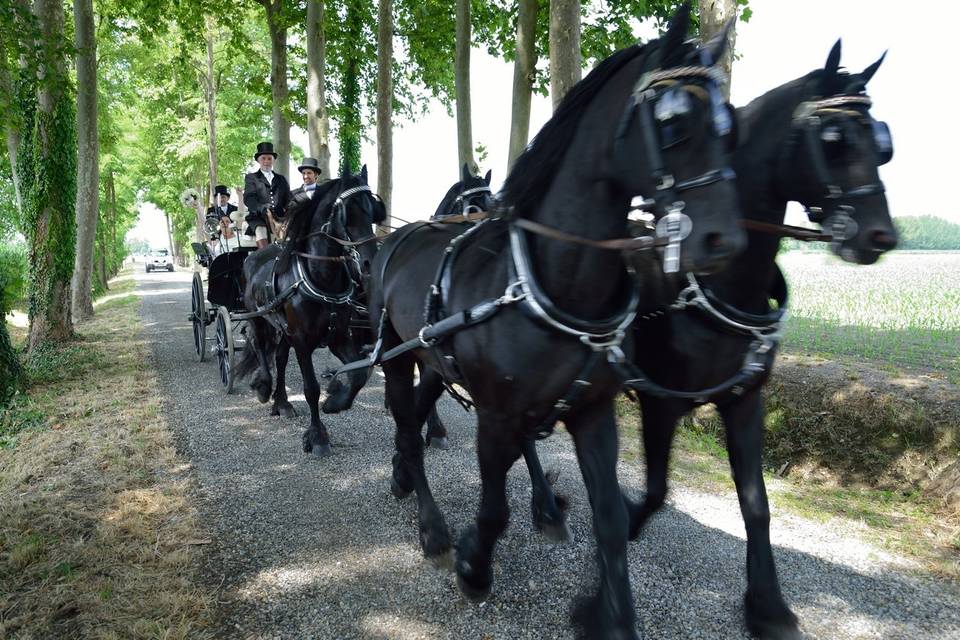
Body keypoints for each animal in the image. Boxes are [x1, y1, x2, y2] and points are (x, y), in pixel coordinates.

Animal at [238, 165, 384, 456]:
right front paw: (317, 437)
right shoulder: (303, 342)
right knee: (259, 347)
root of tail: (254, 256)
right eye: (347, 211)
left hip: (283, 329)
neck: (319, 276)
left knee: (280, 358)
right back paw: (264, 386)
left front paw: (335, 400)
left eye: (373, 209)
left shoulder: (339, 337)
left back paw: (282, 403)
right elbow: (311, 388)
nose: (370, 263)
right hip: (260, 319)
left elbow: (359, 373)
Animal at [348, 7, 748, 636]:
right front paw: (474, 564)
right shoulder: (497, 414)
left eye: (730, 125)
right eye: (673, 120)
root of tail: (394, 240)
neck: (553, 281)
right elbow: (494, 507)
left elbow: (609, 516)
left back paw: (405, 479)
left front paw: (608, 612)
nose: (723, 240)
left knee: (415, 416)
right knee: (408, 424)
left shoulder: (590, 409)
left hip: (434, 360)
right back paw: (431, 526)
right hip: (398, 354)